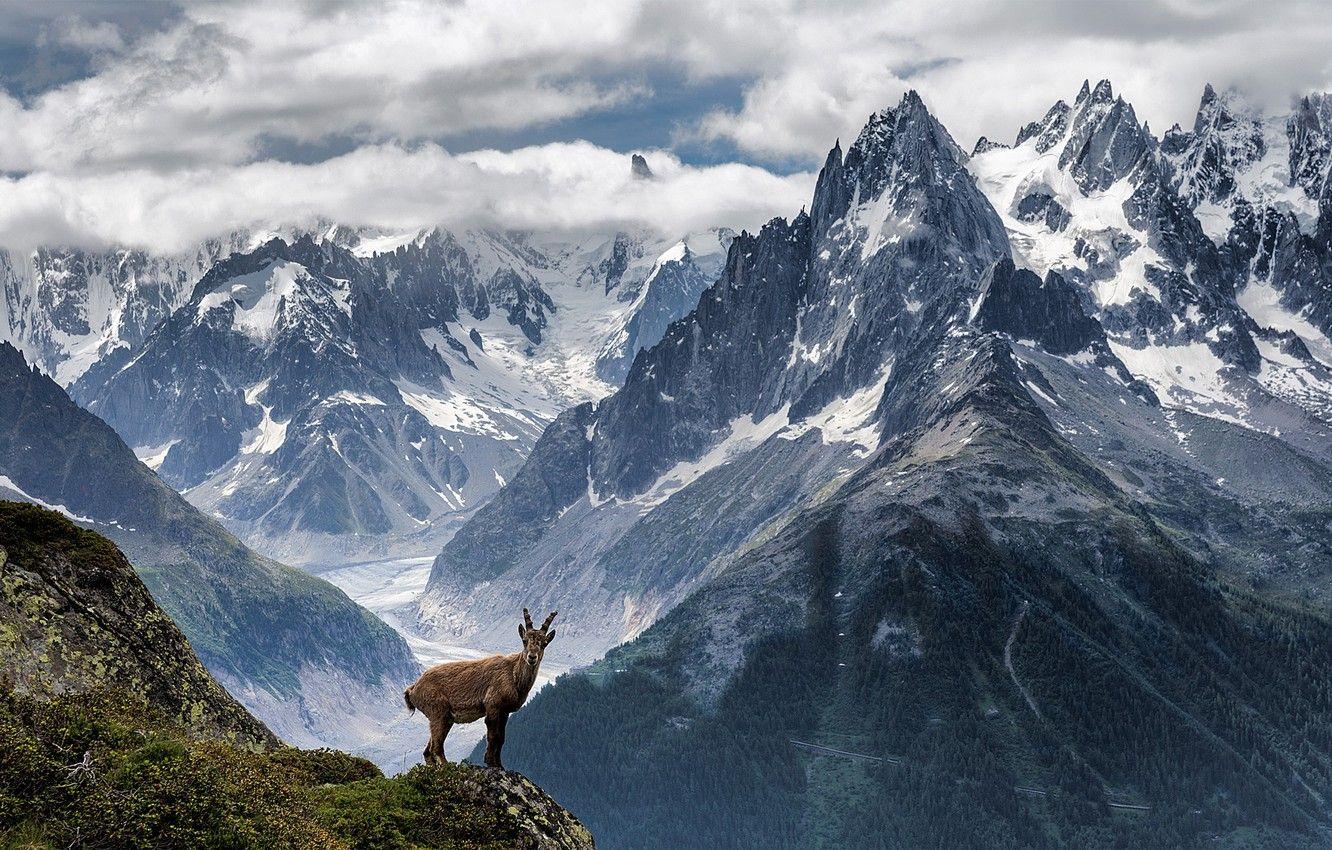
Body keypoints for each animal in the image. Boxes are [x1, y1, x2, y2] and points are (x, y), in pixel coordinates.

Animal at [404, 608, 556, 769]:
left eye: (544, 643)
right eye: (525, 640)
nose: (532, 657)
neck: (513, 675)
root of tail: (414, 688)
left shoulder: (505, 711)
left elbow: (501, 738)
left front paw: (499, 765)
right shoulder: (492, 705)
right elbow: (493, 736)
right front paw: (490, 762)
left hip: (444, 719)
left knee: (427, 751)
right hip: (439, 713)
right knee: (436, 748)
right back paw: (448, 767)